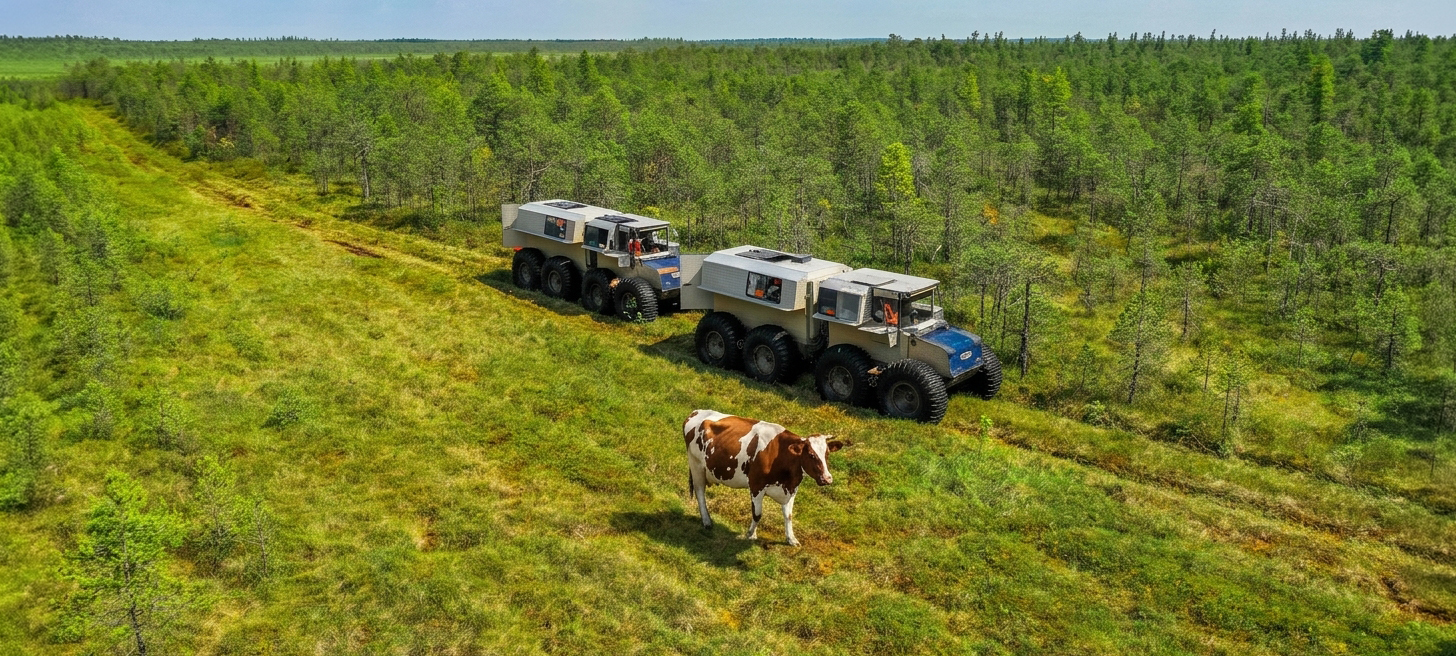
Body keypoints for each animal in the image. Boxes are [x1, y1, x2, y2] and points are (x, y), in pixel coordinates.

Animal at [683, 409, 846, 546]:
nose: (827, 479)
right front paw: (751, 534)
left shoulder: (791, 490)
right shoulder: (756, 485)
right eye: (811, 455)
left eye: (827, 454)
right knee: (700, 492)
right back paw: (706, 521)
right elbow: (757, 514)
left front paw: (791, 539)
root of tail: (696, 412)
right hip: (696, 465)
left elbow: (788, 515)